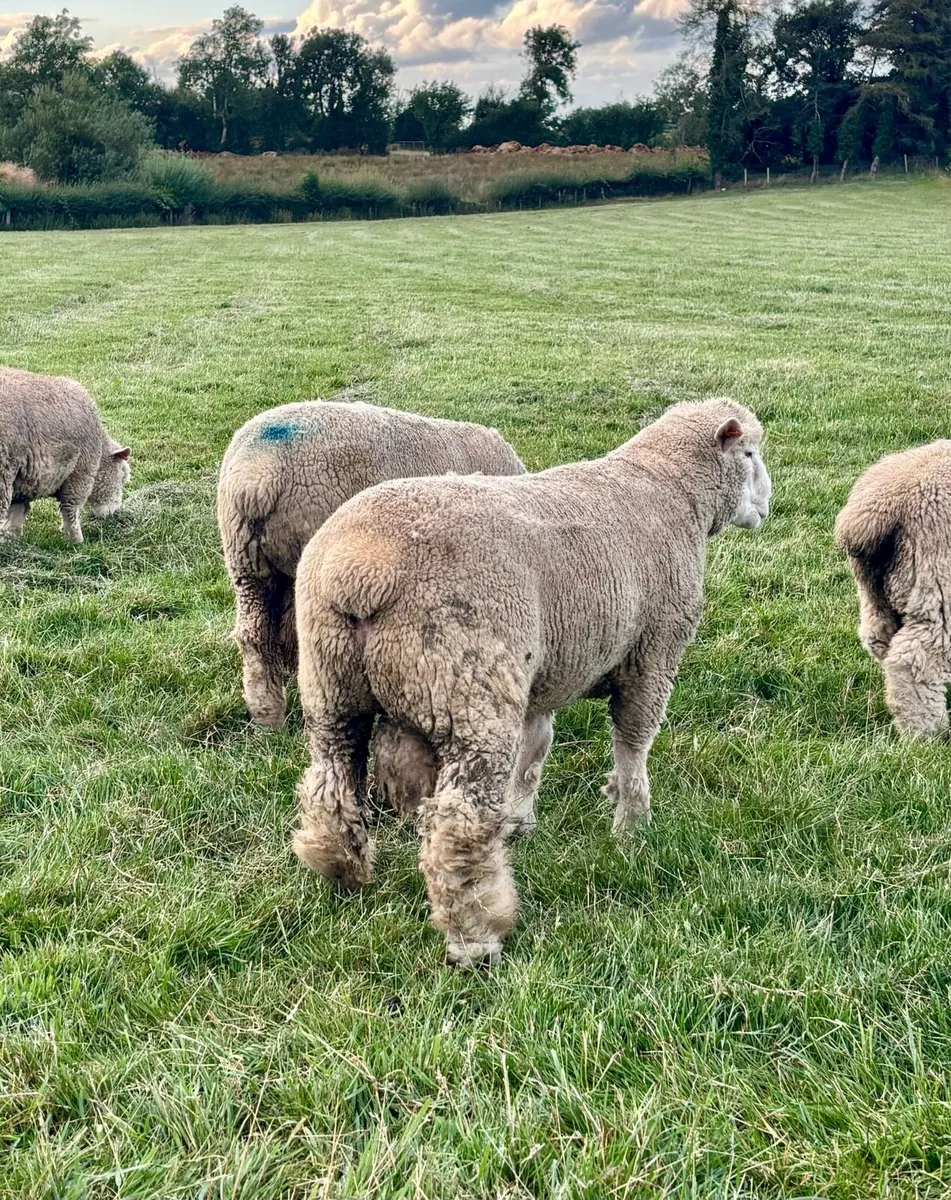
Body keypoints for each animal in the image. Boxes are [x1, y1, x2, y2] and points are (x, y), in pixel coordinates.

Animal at [0, 366, 131, 543]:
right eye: (122, 479)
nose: (115, 512)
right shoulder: (80, 473)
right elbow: (70, 510)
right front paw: (76, 540)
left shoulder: (26, 475)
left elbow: (18, 510)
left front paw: (11, 537)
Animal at [290, 398, 771, 968]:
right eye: (749, 453)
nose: (768, 503)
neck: (672, 492)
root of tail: (360, 570)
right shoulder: (653, 652)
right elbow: (633, 742)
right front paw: (631, 827)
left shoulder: (544, 671)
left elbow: (536, 746)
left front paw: (523, 817)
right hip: (469, 689)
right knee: (459, 826)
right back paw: (476, 937)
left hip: (331, 687)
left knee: (330, 785)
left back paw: (344, 874)